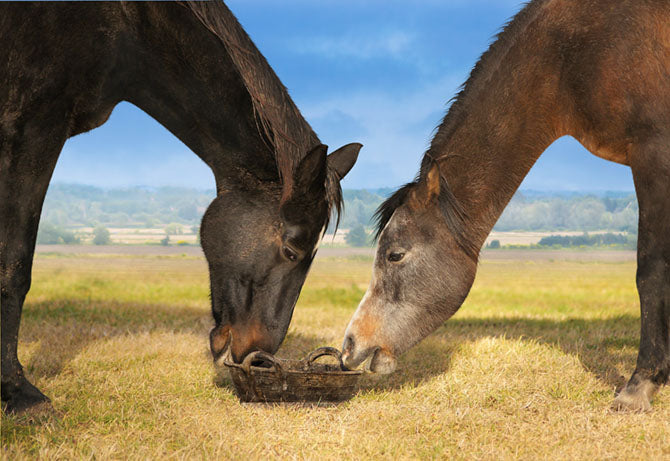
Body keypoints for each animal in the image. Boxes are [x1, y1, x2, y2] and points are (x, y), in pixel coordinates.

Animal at [0, 1, 362, 413]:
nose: (257, 354)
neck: (127, 25)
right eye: (290, 250)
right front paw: (18, 391)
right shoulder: (33, 128)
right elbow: (14, 267)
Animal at [342, 0, 669, 411]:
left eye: (395, 255)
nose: (349, 345)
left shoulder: (653, 155)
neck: (572, 53)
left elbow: (651, 272)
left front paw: (639, 385)